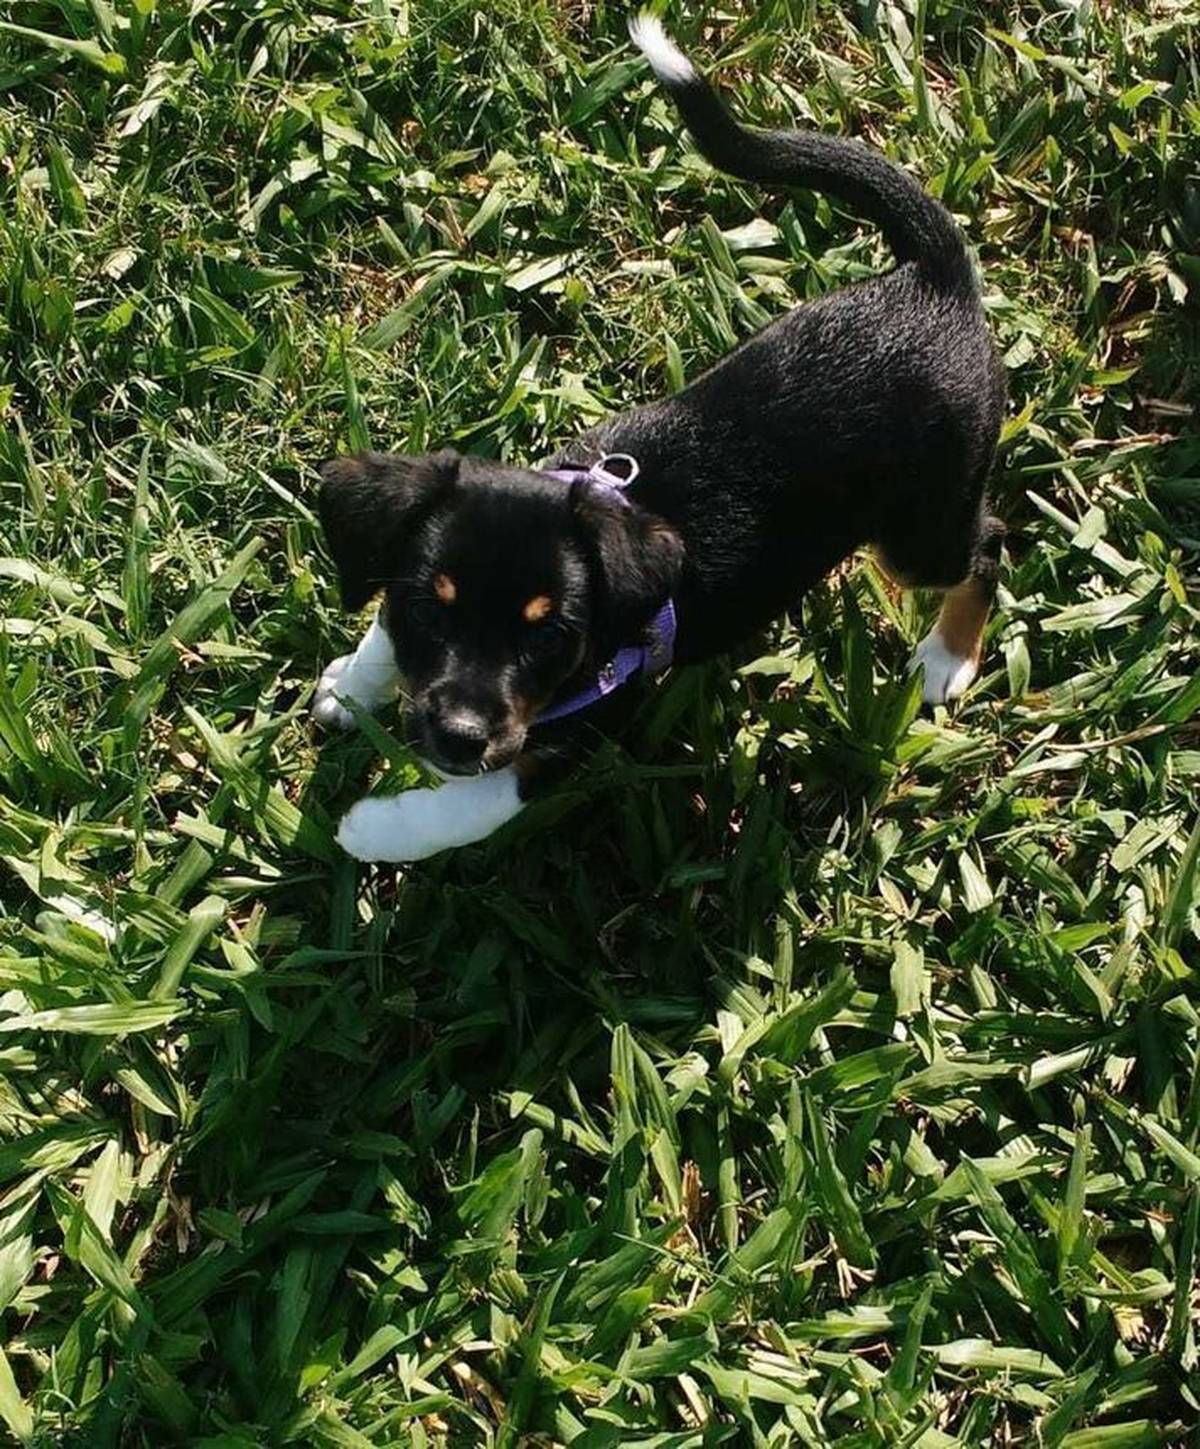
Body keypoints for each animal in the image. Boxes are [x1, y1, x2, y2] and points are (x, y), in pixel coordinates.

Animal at [312, 15, 1006, 863]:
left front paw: (368, 829)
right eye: (430, 606)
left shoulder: (565, 739)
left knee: (987, 546)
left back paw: (947, 657)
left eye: (549, 637)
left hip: (921, 529)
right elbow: (382, 632)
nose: (459, 737)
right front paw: (350, 684)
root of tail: (936, 275)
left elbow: (463, 809)